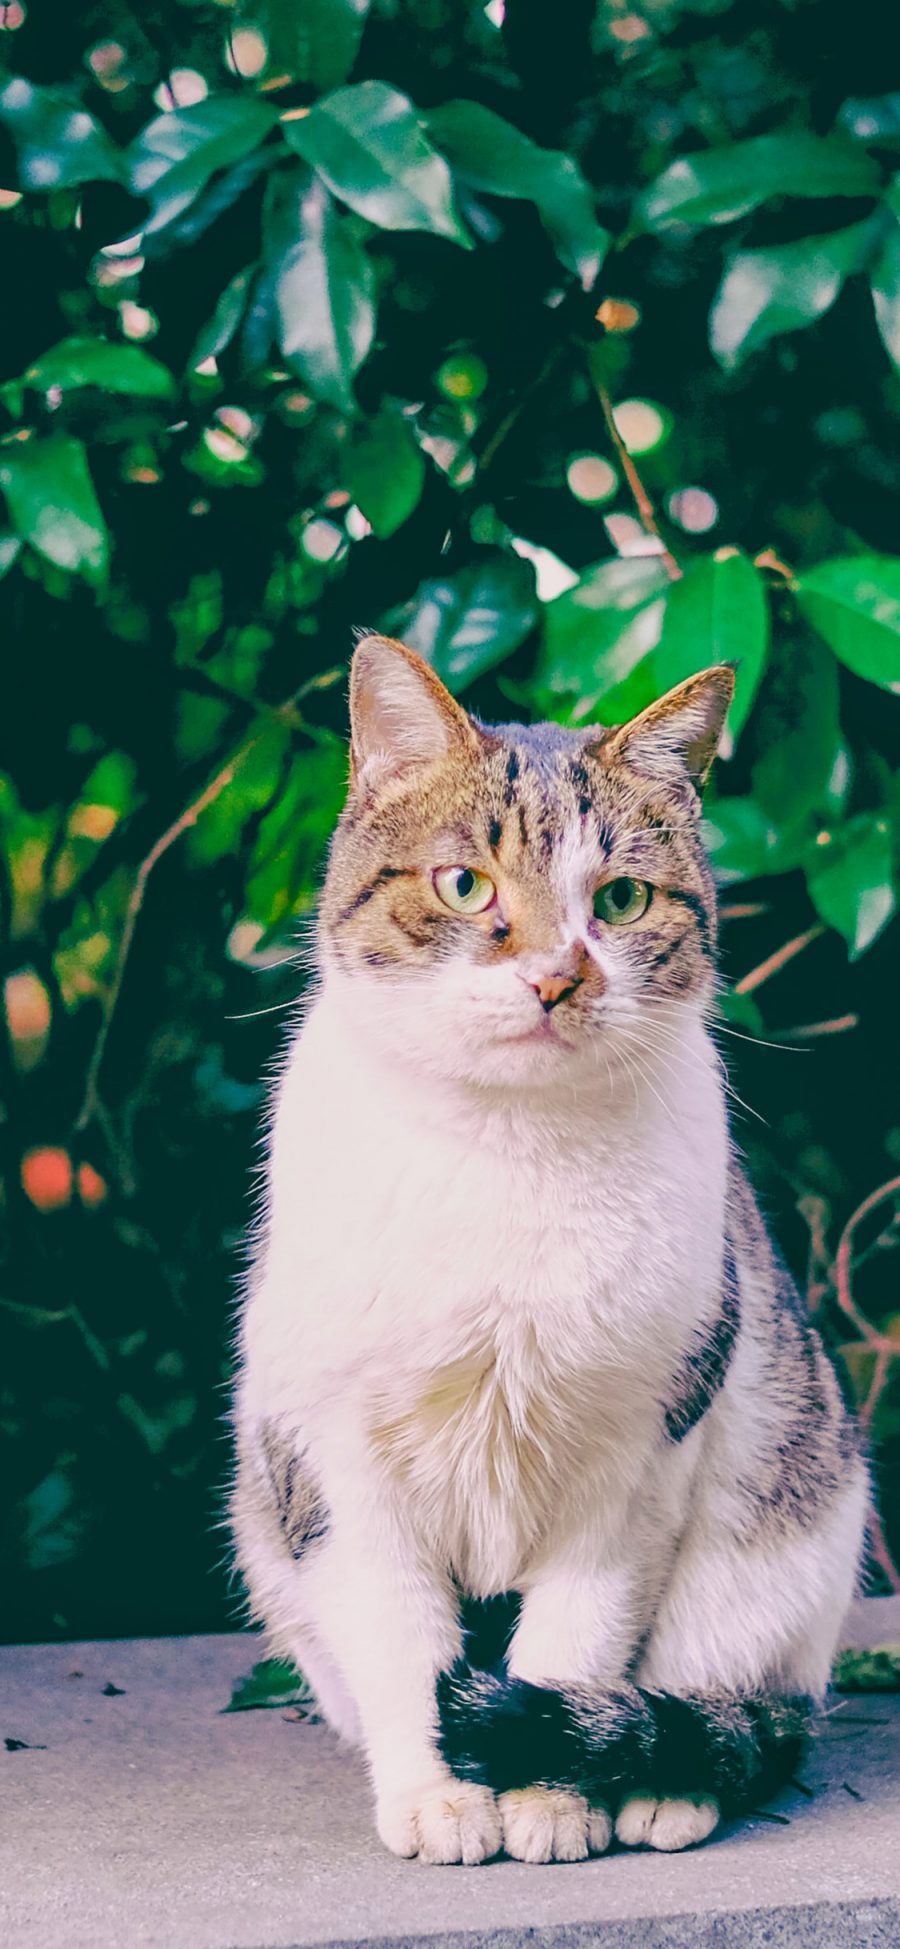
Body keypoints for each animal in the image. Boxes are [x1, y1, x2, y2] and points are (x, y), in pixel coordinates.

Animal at [228, 631, 868, 1863]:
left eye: (621, 897)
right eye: (464, 883)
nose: (559, 975)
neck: (508, 1149)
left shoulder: (641, 1445)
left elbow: (575, 1635)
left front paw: (551, 1795)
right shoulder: (337, 1450)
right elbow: (400, 1633)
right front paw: (440, 1794)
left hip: (788, 1504)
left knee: (724, 1689)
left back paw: (666, 1784)